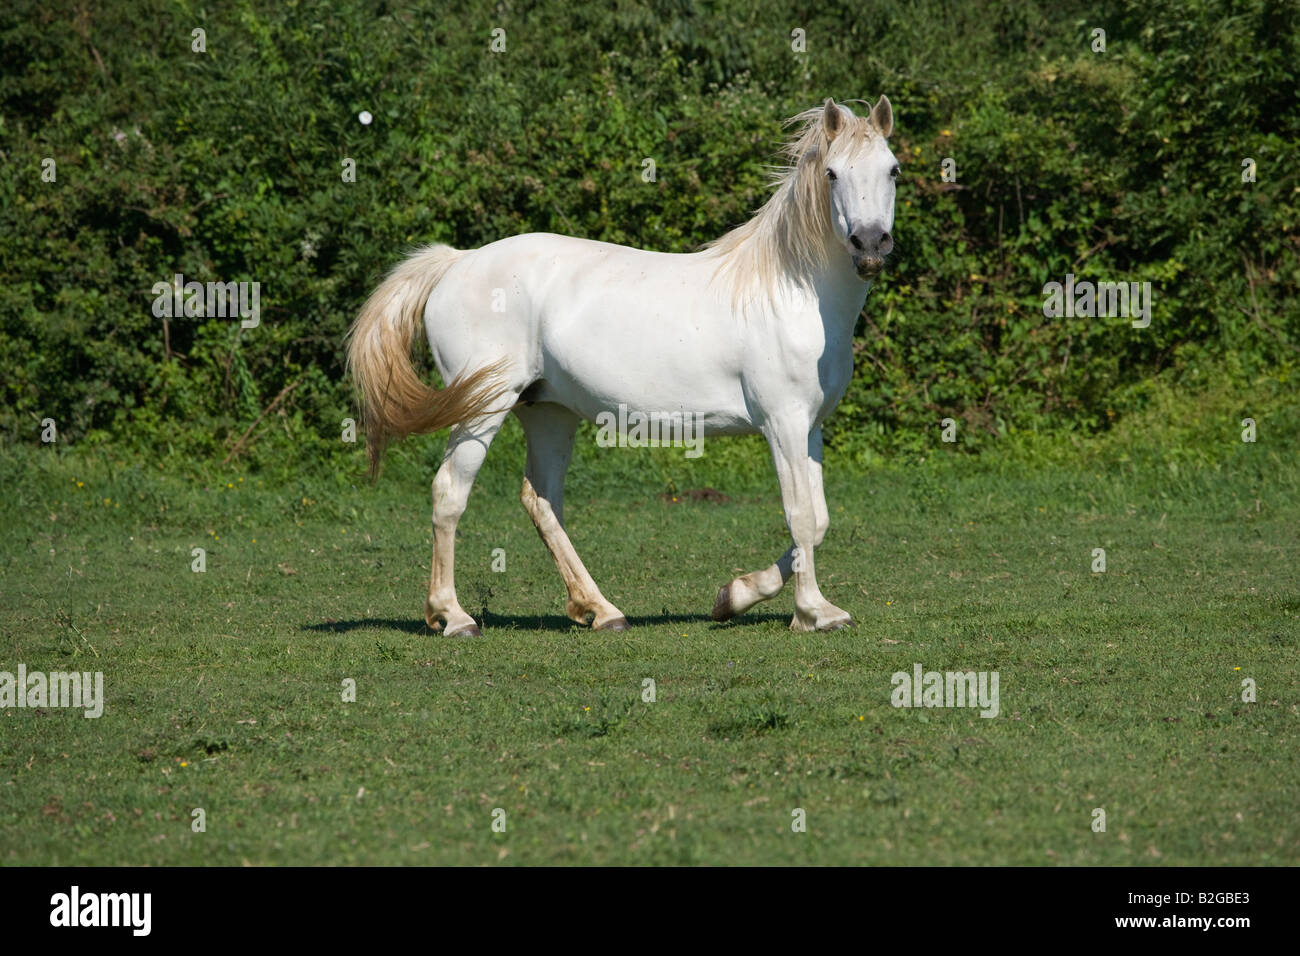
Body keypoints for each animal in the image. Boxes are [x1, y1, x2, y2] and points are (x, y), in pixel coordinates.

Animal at [346, 96, 899, 636]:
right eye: (831, 173)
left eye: (892, 169)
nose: (871, 245)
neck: (792, 292)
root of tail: (458, 261)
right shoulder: (782, 422)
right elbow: (801, 516)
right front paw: (813, 613)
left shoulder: (809, 426)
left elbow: (819, 521)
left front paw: (735, 596)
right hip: (482, 411)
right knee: (449, 493)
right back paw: (454, 617)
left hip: (547, 414)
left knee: (541, 500)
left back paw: (601, 610)